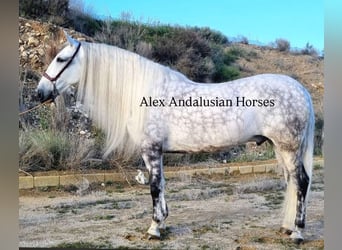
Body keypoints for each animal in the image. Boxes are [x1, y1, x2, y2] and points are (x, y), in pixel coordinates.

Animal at [37, 32, 316, 243]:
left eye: (61, 58)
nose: (40, 92)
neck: (145, 92)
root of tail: (300, 89)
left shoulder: (150, 149)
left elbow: (154, 187)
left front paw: (154, 228)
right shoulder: (158, 152)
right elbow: (162, 185)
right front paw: (162, 222)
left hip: (288, 147)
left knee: (302, 182)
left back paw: (298, 233)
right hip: (280, 148)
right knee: (292, 182)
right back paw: (287, 227)